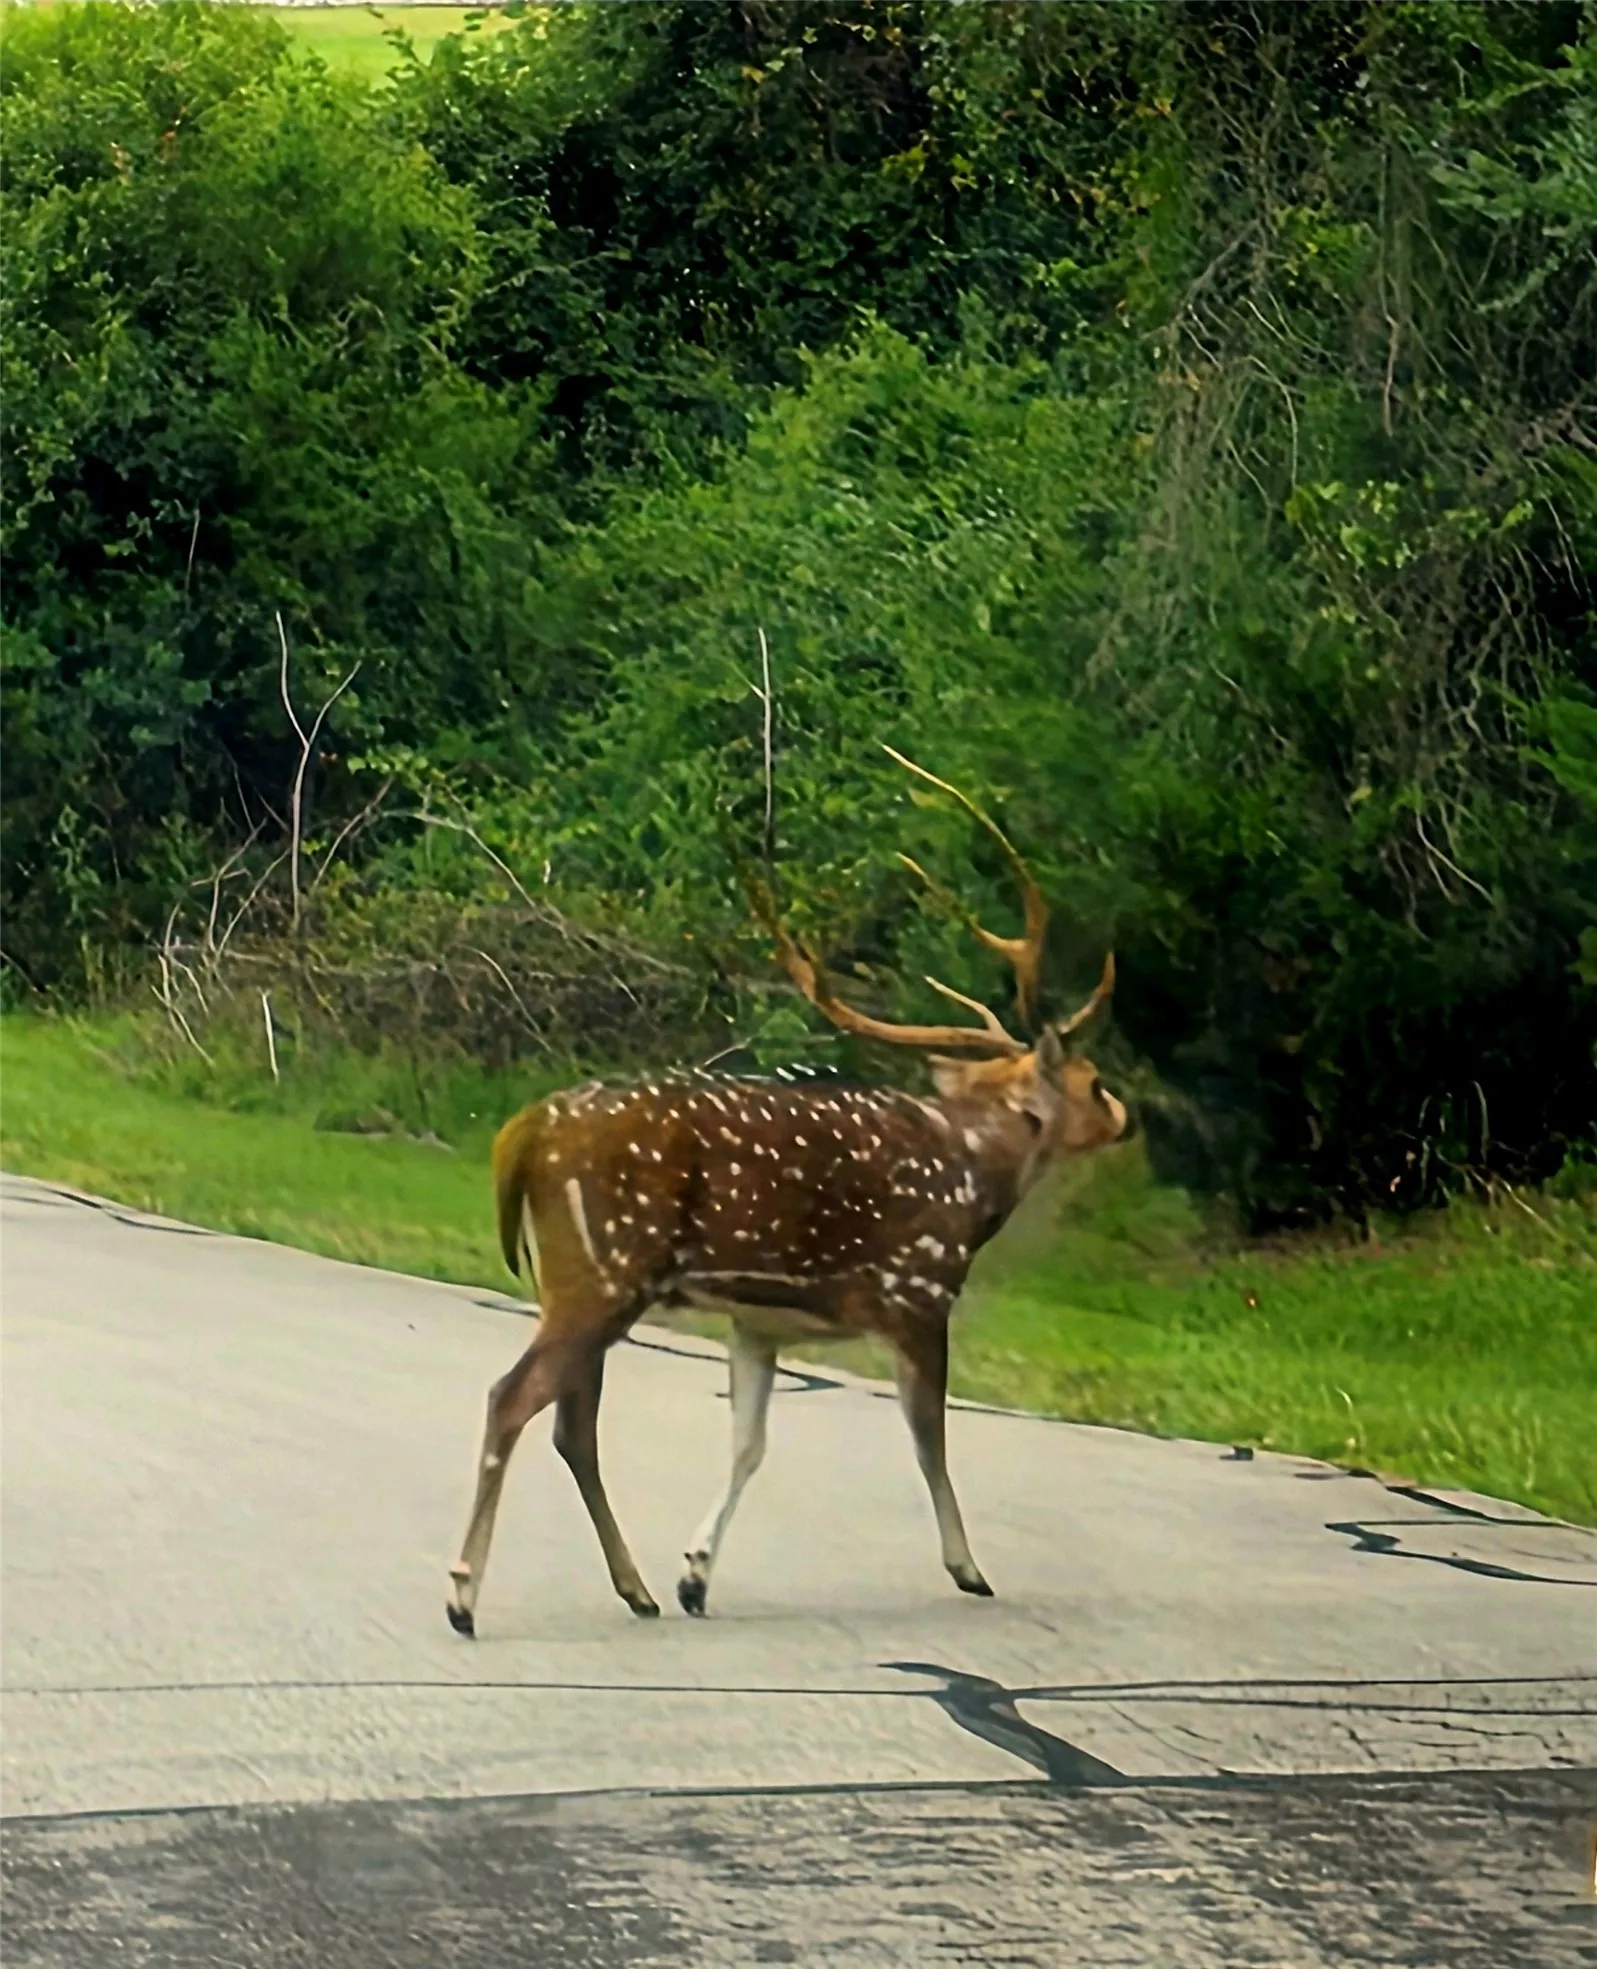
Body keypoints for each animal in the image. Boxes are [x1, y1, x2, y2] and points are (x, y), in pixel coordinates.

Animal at [446, 754, 1130, 1634]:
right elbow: (929, 1440)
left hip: (577, 1277)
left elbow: (749, 1442)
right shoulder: (917, 1293)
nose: (1122, 1115)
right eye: (1091, 1080)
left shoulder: (757, 1320)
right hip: (601, 1267)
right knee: (515, 1398)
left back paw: (635, 1587)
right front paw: (968, 1567)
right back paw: (465, 1592)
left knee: (573, 1422)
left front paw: (695, 1574)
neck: (980, 1180)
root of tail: (526, 1130)